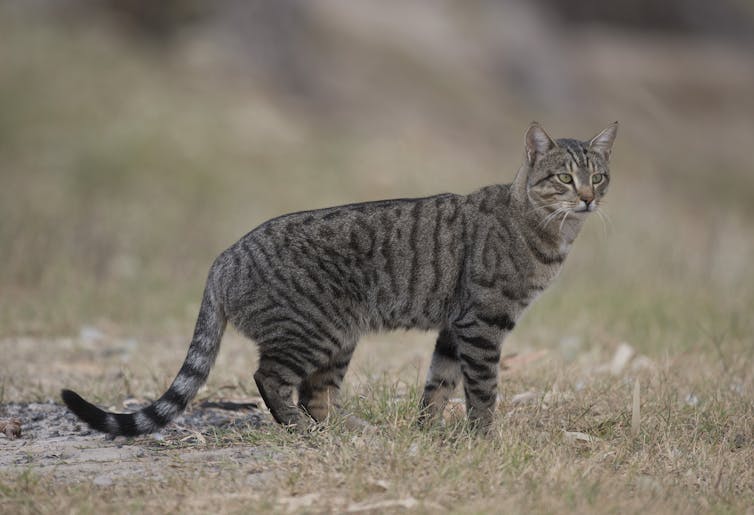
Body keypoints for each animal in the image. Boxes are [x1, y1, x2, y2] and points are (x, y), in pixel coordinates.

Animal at [61, 122, 616, 436]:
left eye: (599, 176)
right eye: (564, 178)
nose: (589, 197)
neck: (549, 230)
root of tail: (223, 258)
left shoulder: (454, 327)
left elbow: (438, 386)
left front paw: (428, 435)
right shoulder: (482, 322)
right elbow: (483, 391)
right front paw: (484, 441)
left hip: (339, 338)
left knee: (316, 395)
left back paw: (354, 432)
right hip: (317, 331)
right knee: (272, 379)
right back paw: (299, 431)